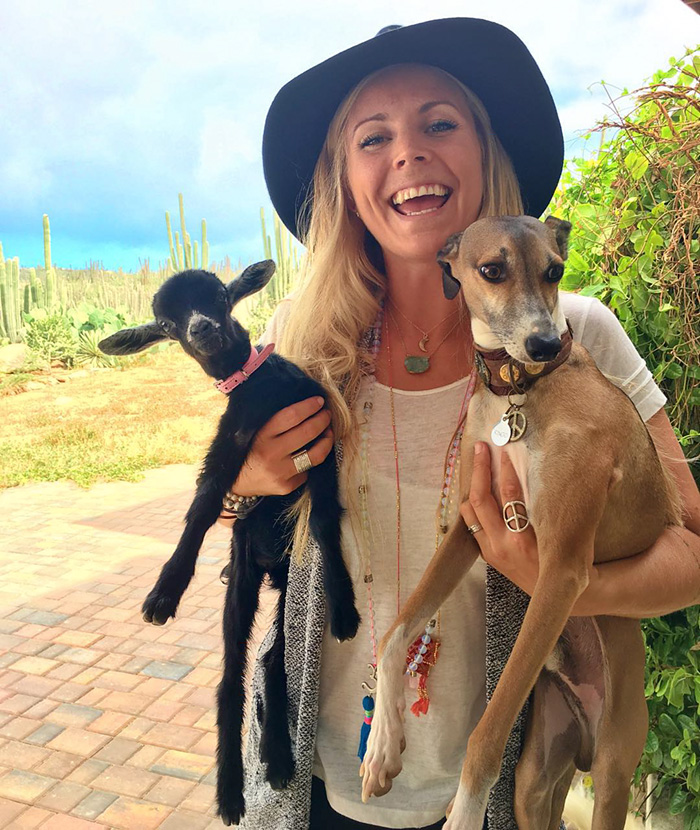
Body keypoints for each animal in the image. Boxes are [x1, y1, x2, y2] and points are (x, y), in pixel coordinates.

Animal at [99, 262, 360, 826]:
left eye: (220, 296)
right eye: (165, 324)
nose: (201, 329)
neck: (257, 386)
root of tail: (264, 564)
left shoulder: (319, 441)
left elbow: (325, 521)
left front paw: (345, 608)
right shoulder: (233, 442)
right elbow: (201, 504)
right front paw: (165, 592)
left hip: (282, 590)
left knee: (270, 663)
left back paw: (277, 759)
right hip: (240, 586)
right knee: (230, 681)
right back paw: (230, 791)